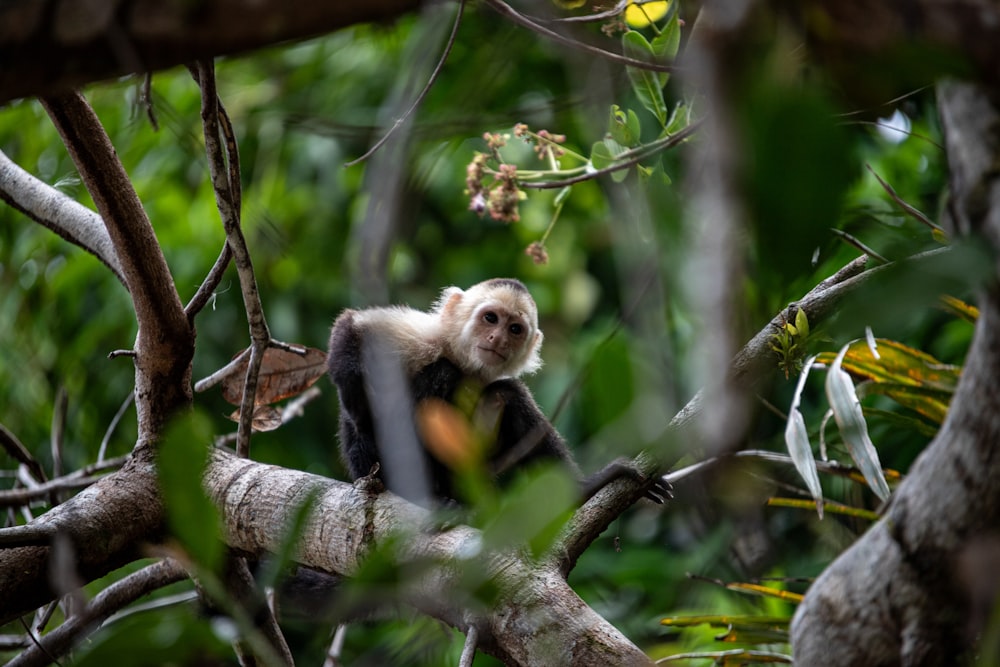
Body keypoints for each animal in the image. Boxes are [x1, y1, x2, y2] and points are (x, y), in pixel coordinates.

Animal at [328, 278, 672, 506]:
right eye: (490, 318)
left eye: (515, 329)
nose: (498, 339)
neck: (467, 362)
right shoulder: (425, 338)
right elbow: (350, 325)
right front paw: (357, 403)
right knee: (442, 374)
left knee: (506, 392)